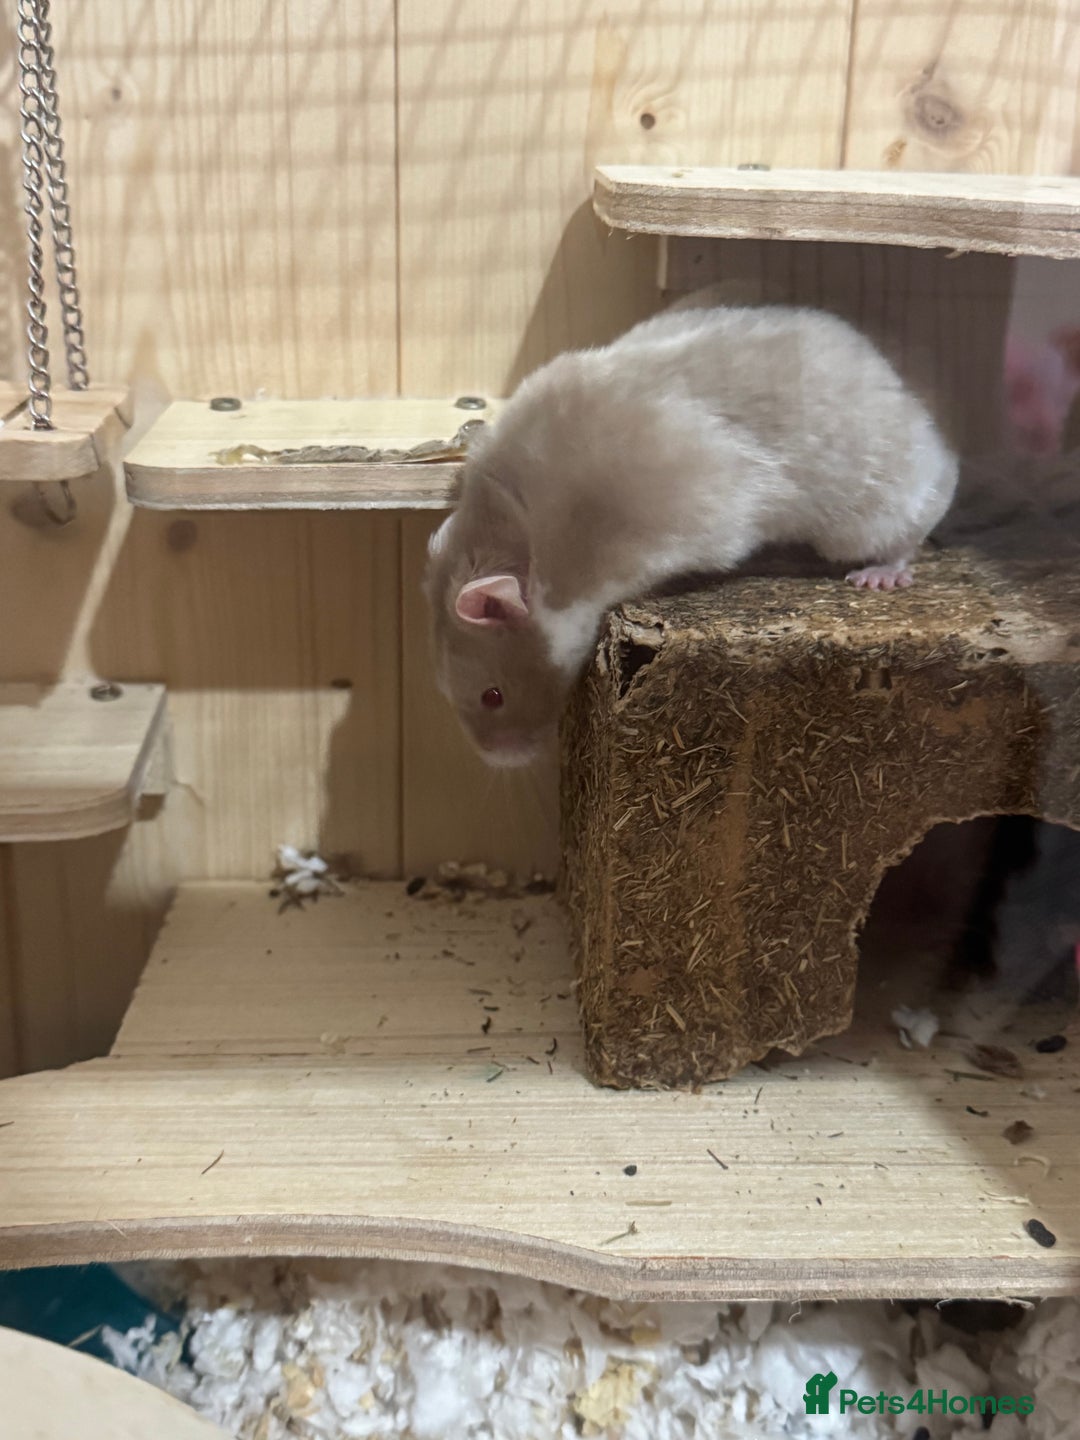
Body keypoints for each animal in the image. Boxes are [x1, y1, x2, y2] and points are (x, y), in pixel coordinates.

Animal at [424, 302, 958, 767]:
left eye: (492, 696)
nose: (498, 762)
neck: (521, 538)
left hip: (873, 511)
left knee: (918, 522)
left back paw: (880, 575)